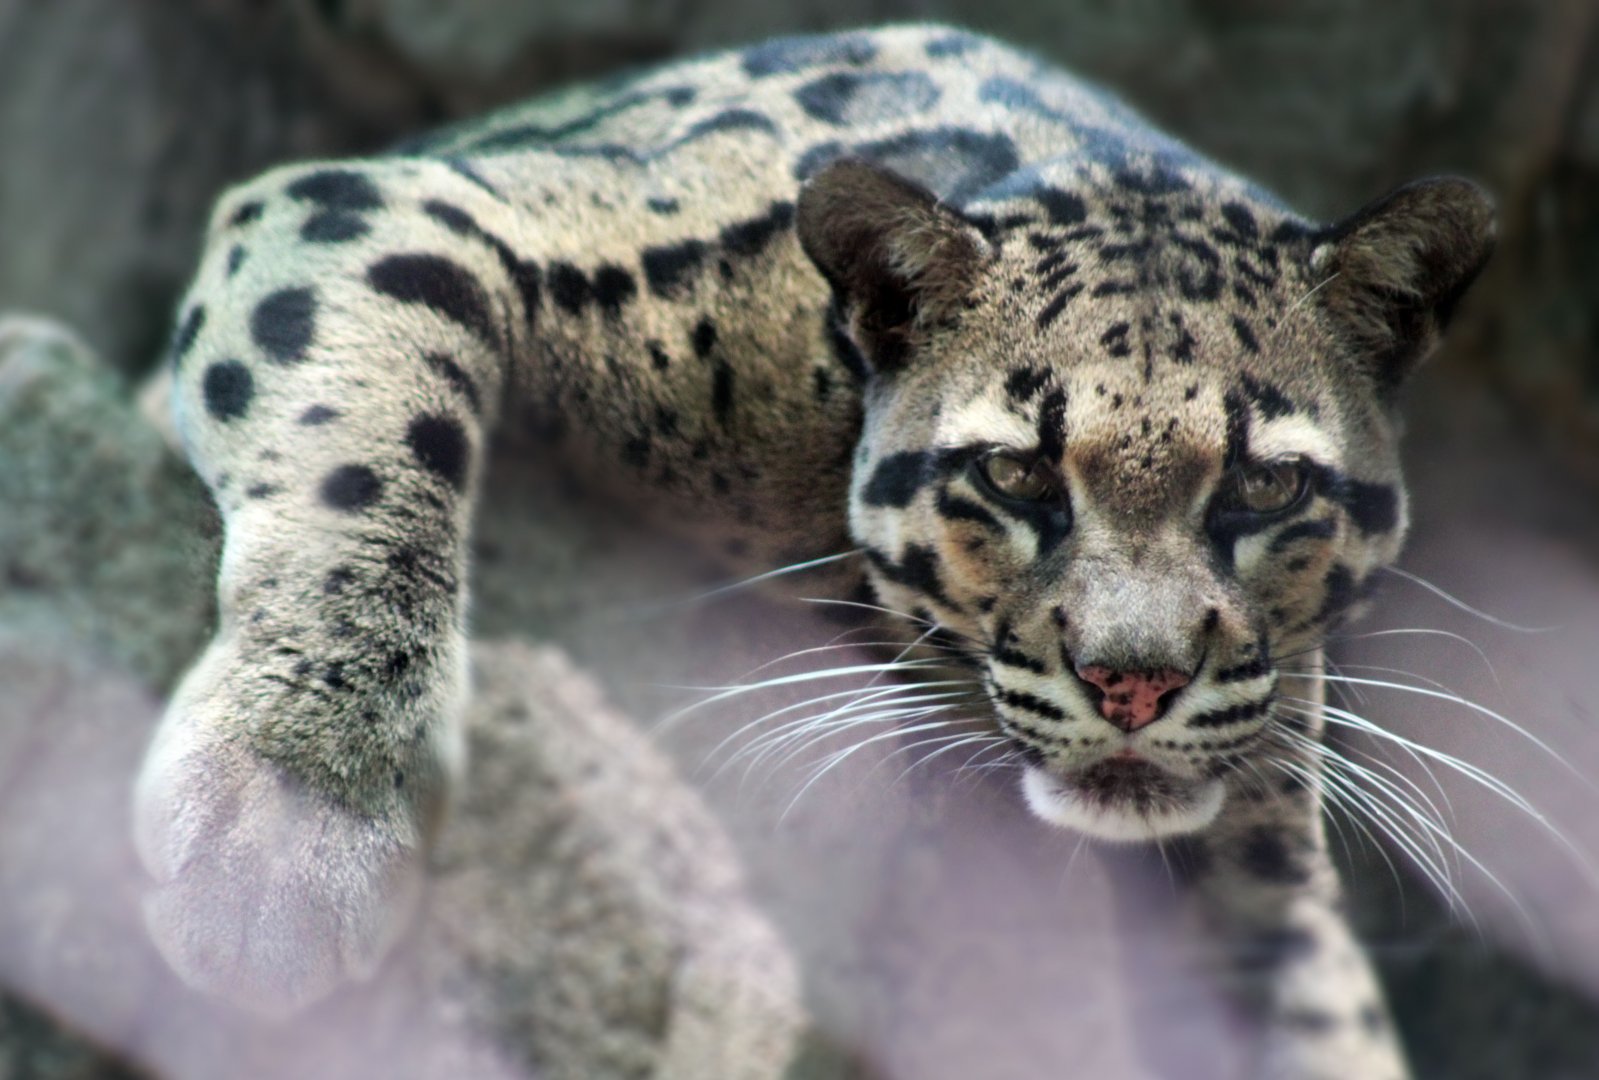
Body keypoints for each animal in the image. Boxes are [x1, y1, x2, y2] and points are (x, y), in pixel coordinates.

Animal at [131, 23, 1494, 1079]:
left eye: (1267, 484)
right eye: (1015, 472)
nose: (1133, 686)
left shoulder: (1263, 856)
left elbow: (1310, 1007)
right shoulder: (401, 205)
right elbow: (366, 455)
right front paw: (290, 822)